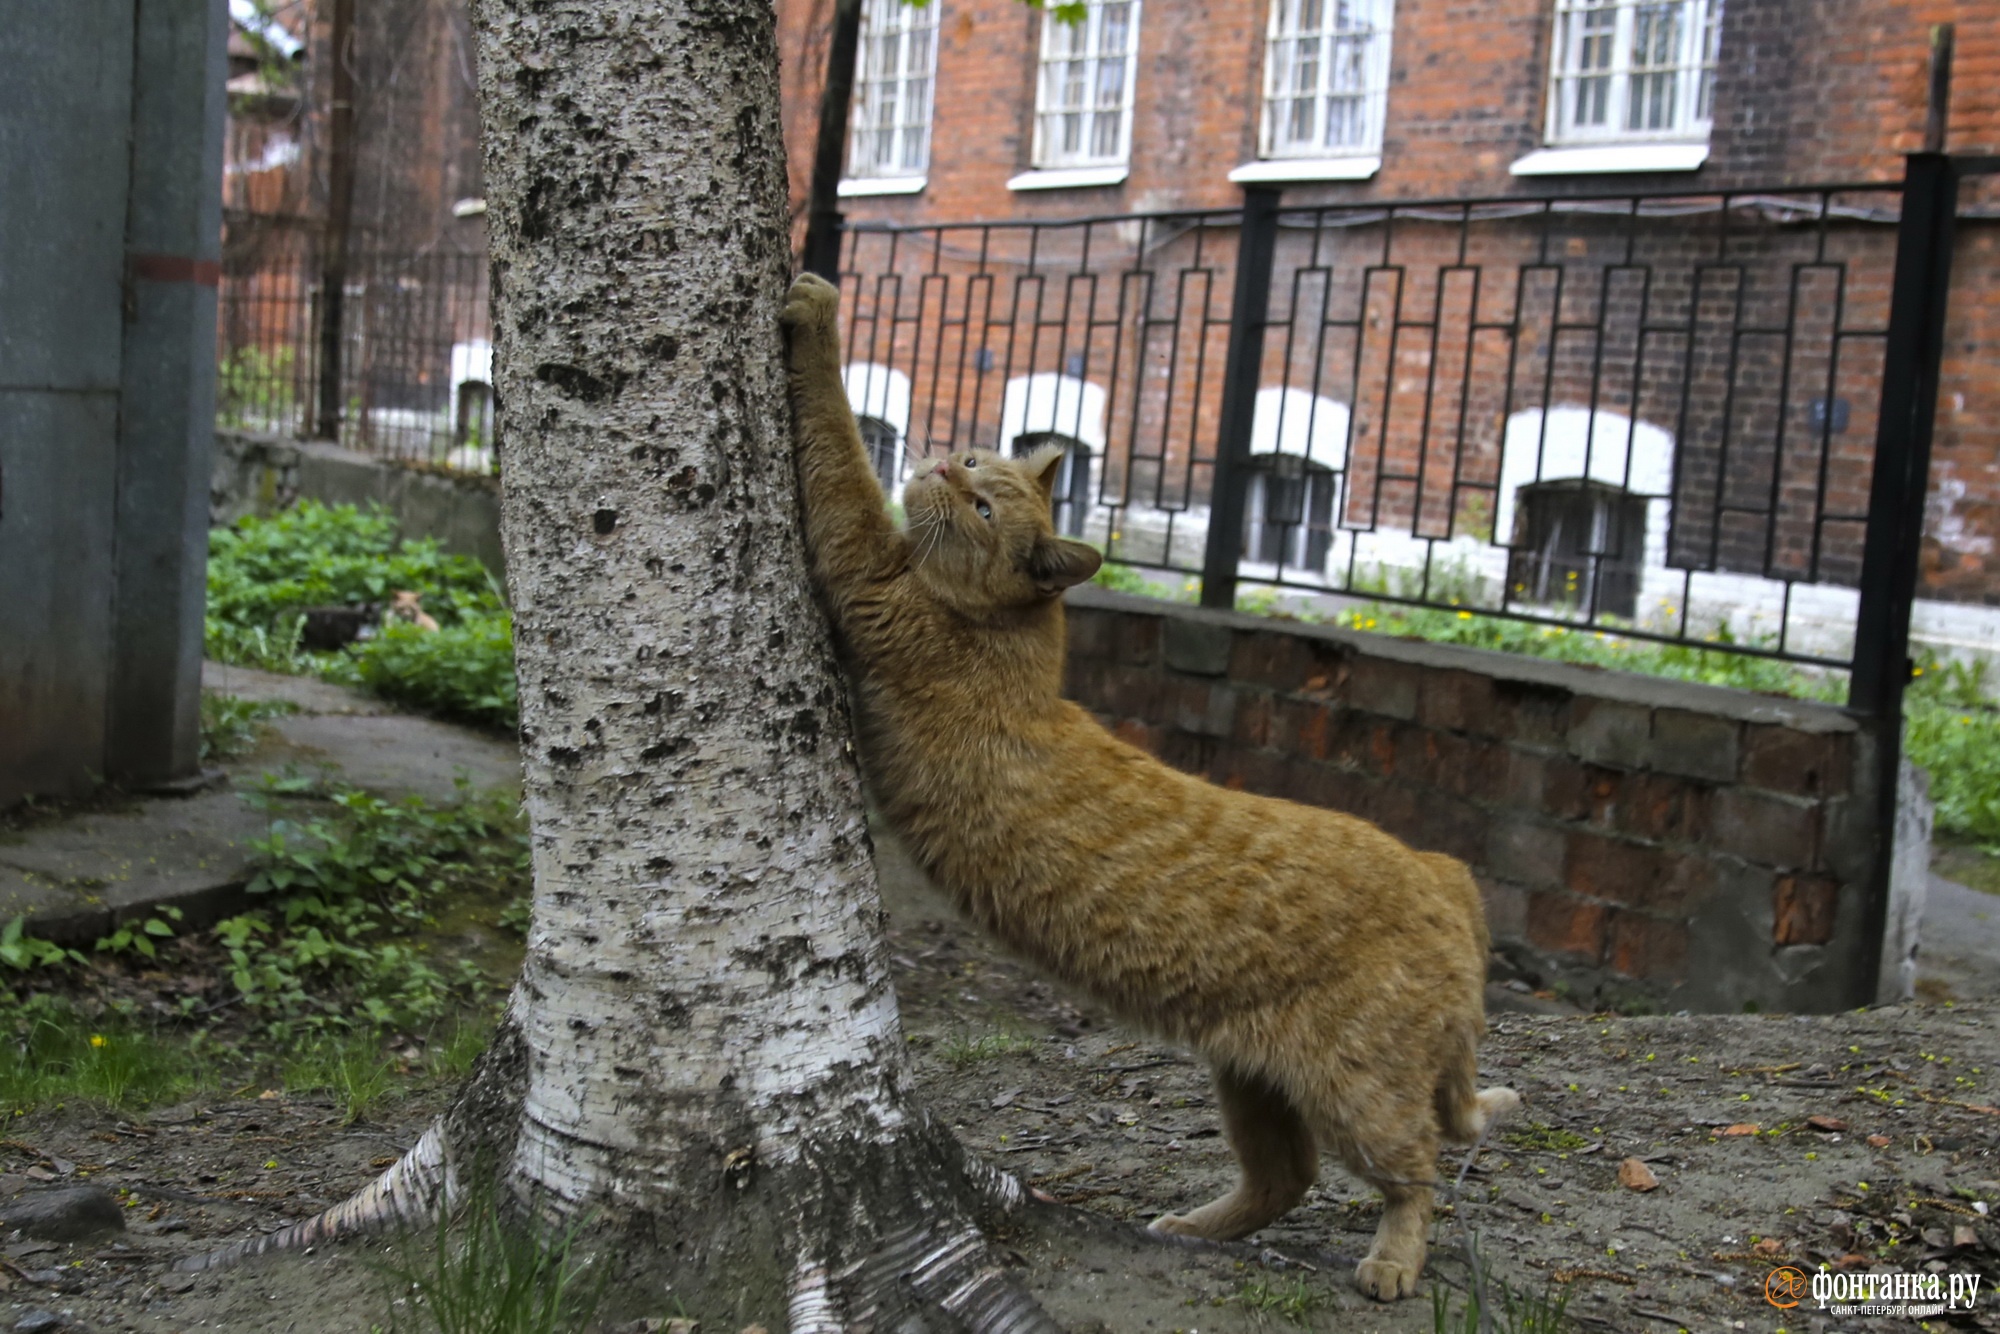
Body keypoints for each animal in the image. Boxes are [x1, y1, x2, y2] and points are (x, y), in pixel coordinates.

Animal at [780, 274, 1512, 1304]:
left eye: (983, 504)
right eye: (973, 461)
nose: (940, 465)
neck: (1019, 638)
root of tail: (1445, 870)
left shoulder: (860, 569)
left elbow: (837, 445)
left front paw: (815, 306)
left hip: (1356, 1087)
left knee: (1417, 1174)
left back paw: (1390, 1264)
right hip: (1251, 1079)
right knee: (1288, 1177)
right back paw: (1195, 1229)